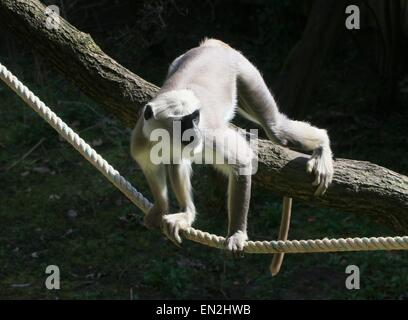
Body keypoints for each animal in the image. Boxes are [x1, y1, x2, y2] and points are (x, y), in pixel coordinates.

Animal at [132, 38, 334, 276]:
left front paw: (236, 233)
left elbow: (242, 161)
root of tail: (213, 45)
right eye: (184, 123)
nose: (194, 132)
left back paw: (322, 144)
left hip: (243, 69)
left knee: (276, 129)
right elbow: (154, 166)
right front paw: (165, 208)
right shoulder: (142, 139)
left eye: (195, 118)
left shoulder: (207, 134)